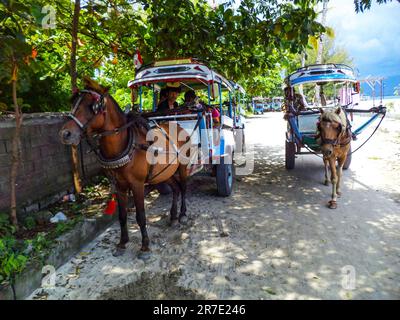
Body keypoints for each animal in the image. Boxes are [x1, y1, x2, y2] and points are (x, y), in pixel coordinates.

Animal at [60, 78, 190, 260]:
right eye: (72, 103)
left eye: (92, 106)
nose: (65, 134)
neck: (126, 145)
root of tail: (179, 126)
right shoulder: (120, 185)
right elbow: (121, 216)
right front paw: (122, 243)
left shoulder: (137, 184)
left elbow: (140, 216)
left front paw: (145, 246)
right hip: (164, 172)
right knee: (176, 189)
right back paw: (173, 216)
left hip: (183, 167)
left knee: (183, 188)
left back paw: (183, 214)